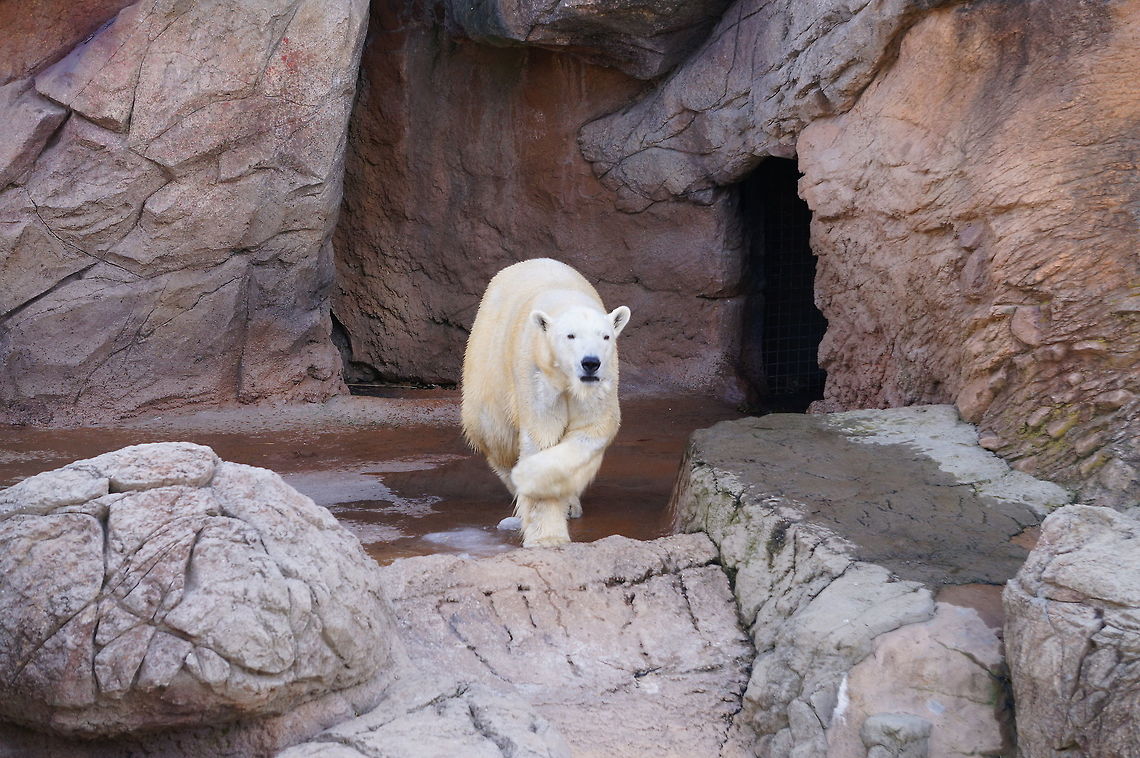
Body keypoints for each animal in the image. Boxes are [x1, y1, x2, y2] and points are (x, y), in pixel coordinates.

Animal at [461, 258, 631, 547]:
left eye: (605, 336)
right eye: (570, 336)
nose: (590, 362)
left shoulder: (601, 383)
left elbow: (589, 432)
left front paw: (535, 479)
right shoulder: (536, 374)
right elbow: (541, 436)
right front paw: (547, 538)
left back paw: (570, 504)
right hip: (488, 362)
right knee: (495, 435)